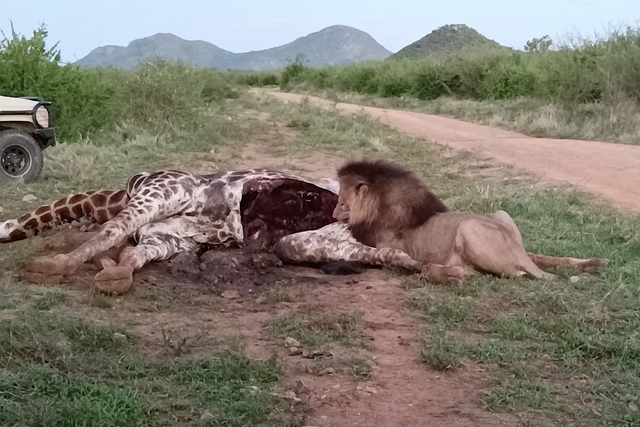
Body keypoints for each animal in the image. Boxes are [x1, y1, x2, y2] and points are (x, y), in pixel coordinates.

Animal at [1, 168, 423, 294]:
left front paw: (54, 265)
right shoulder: (164, 236)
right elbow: (127, 251)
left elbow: (112, 234)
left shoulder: (165, 196)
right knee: (380, 253)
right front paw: (113, 274)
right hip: (305, 243)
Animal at [333, 160, 609, 283]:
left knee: (516, 272)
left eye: (342, 203)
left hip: (468, 227)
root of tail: (516, 250)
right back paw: (594, 264)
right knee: (540, 257)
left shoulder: (388, 248)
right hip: (500, 215)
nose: (334, 215)